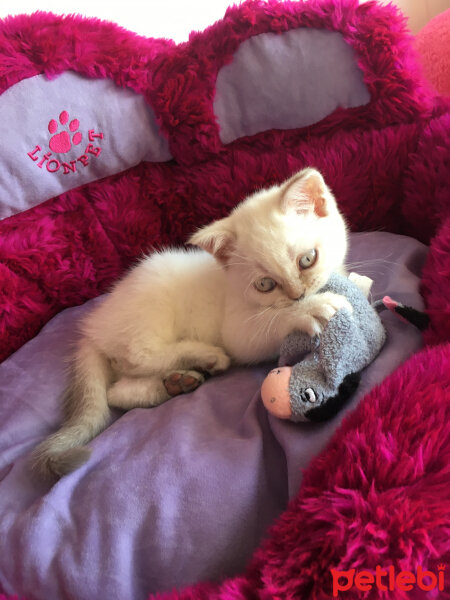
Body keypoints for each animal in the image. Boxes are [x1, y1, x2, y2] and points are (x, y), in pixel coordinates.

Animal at [34, 166, 352, 480]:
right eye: (265, 284)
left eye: (307, 259)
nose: (298, 294)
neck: (229, 284)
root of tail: (93, 328)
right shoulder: (238, 330)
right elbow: (270, 322)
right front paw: (309, 310)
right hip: (151, 305)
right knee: (140, 356)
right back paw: (204, 357)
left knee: (117, 390)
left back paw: (175, 383)